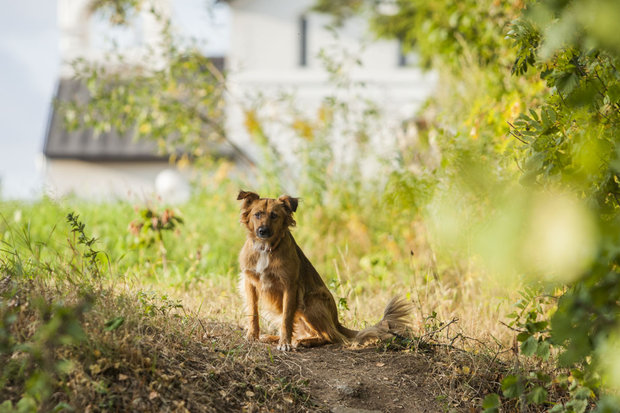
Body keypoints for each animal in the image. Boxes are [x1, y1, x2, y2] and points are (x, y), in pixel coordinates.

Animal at [237, 192, 412, 350]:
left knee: (331, 336)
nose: (263, 231)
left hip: (310, 302)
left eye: (274, 215)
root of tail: (336, 321)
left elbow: (287, 318)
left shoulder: (289, 285)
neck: (265, 248)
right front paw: (252, 336)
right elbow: (253, 312)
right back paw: (276, 337)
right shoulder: (250, 281)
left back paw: (303, 342)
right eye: (257, 214)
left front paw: (284, 344)